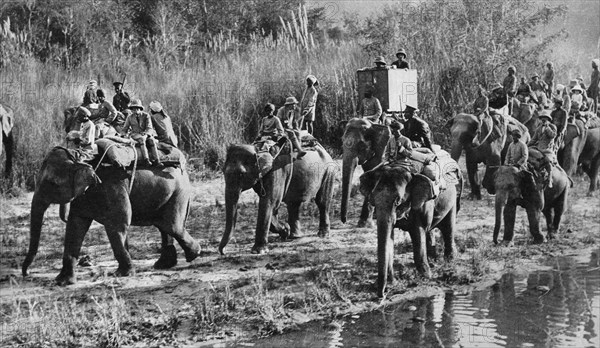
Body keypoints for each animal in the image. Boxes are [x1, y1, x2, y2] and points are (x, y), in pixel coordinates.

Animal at [21, 145, 199, 284]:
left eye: (52, 183)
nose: (26, 274)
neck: (79, 158)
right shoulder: (83, 196)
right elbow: (75, 226)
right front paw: (62, 282)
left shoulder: (112, 187)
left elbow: (118, 224)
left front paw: (122, 274)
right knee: (164, 226)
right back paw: (164, 264)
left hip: (178, 191)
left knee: (171, 225)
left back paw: (194, 254)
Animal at [356, 156, 464, 298]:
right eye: (372, 200)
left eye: (397, 200)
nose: (382, 295)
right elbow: (390, 235)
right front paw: (392, 282)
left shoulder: (422, 202)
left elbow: (417, 232)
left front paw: (426, 277)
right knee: (430, 230)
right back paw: (433, 259)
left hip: (452, 197)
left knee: (448, 227)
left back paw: (450, 260)